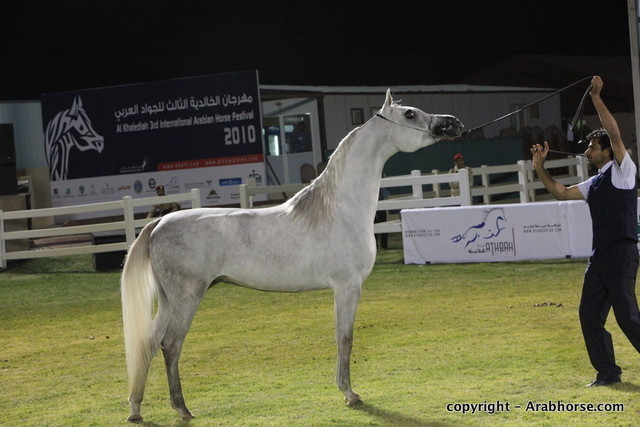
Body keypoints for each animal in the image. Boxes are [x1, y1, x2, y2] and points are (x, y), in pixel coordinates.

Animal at [121, 89, 463, 422]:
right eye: (410, 114)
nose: (453, 123)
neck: (339, 210)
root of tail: (159, 222)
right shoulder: (347, 287)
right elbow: (345, 338)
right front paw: (349, 393)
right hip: (186, 298)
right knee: (170, 345)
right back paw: (181, 408)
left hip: (168, 301)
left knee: (148, 343)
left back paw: (136, 409)